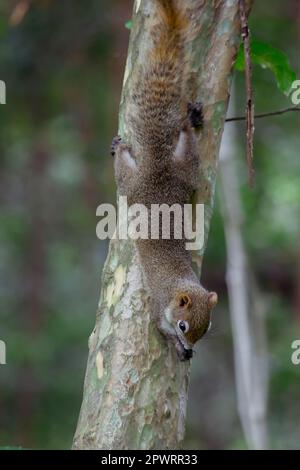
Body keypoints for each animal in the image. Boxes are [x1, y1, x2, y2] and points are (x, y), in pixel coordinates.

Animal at [111, 0, 217, 364]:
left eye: (207, 329)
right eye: (184, 326)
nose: (190, 345)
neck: (178, 284)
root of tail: (158, 164)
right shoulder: (158, 310)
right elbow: (160, 330)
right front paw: (176, 347)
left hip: (186, 171)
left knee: (186, 145)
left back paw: (187, 123)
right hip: (134, 184)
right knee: (123, 175)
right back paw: (121, 148)